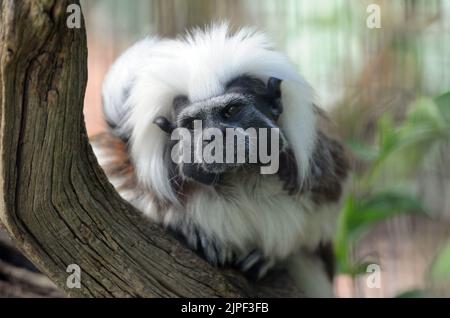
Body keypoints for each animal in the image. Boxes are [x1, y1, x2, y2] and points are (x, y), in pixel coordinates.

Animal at [92, 23, 348, 298]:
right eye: (193, 123)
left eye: (231, 111)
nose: (214, 136)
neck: (238, 177)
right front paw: (190, 229)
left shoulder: (322, 176)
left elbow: (322, 217)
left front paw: (270, 255)